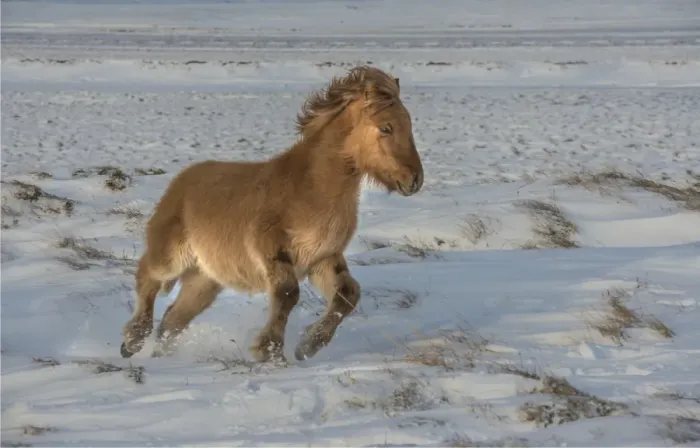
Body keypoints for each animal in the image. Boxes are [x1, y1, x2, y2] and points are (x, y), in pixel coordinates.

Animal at [120, 65, 424, 363]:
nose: (415, 180)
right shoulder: (273, 252)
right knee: (147, 276)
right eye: (386, 127)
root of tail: (178, 183)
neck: (310, 189)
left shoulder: (322, 258)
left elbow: (347, 295)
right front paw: (269, 350)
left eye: (409, 124)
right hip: (173, 258)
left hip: (205, 280)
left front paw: (307, 346)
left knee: (173, 319)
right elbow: (288, 294)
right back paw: (132, 342)